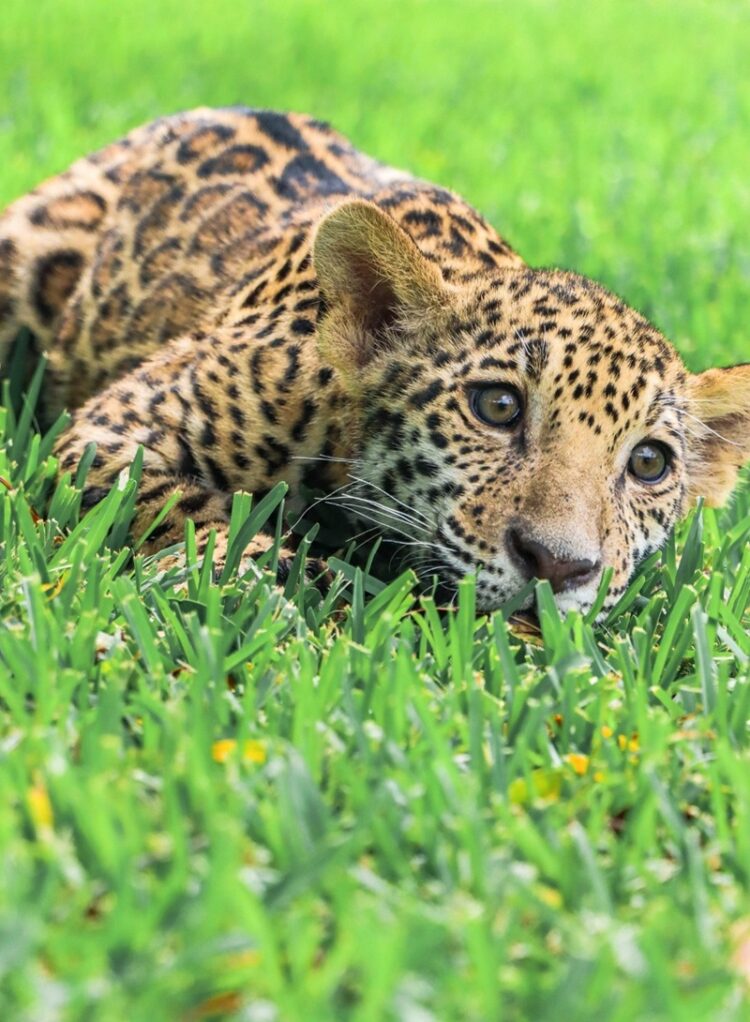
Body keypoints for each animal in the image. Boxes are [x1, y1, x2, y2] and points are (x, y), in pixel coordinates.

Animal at [0, 106, 748, 618]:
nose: (558, 567)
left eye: (648, 463)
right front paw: (267, 580)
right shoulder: (115, 427)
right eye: (498, 407)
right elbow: (188, 505)